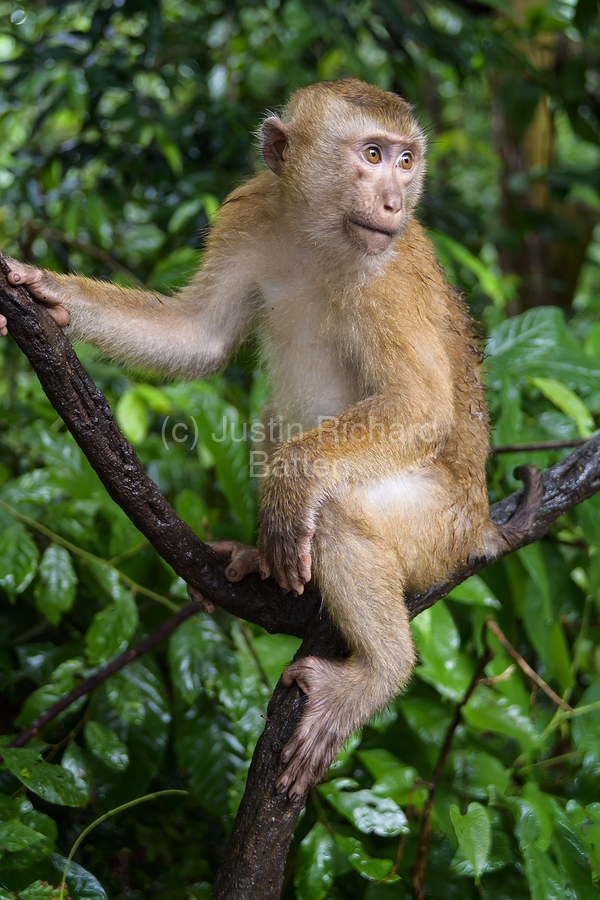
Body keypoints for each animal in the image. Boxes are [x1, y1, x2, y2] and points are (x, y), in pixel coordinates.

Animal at [0, 79, 542, 801]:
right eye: (373, 154)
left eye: (406, 161)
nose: (395, 201)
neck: (320, 236)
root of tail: (482, 524)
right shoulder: (253, 209)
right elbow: (198, 336)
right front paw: (47, 291)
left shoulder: (391, 273)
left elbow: (420, 406)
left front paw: (290, 487)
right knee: (273, 423)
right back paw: (264, 559)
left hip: (438, 530)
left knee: (338, 508)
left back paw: (379, 670)